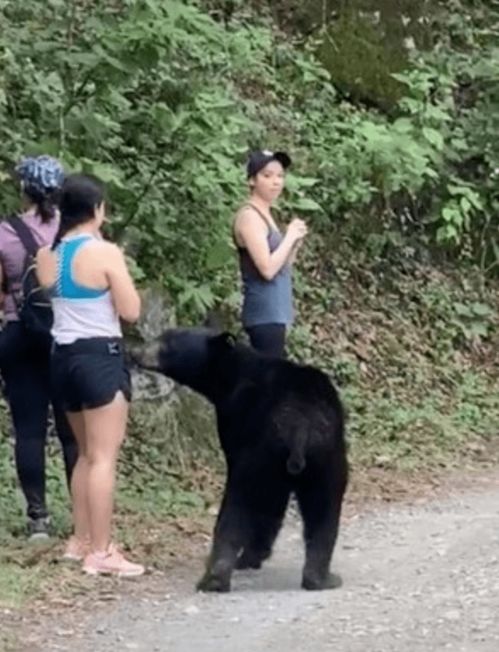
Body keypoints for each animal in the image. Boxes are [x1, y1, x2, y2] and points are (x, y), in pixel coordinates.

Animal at [131, 328, 350, 592]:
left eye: (167, 343)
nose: (135, 352)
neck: (232, 375)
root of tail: (299, 424)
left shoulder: (233, 422)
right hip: (316, 458)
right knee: (320, 508)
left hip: (284, 457)